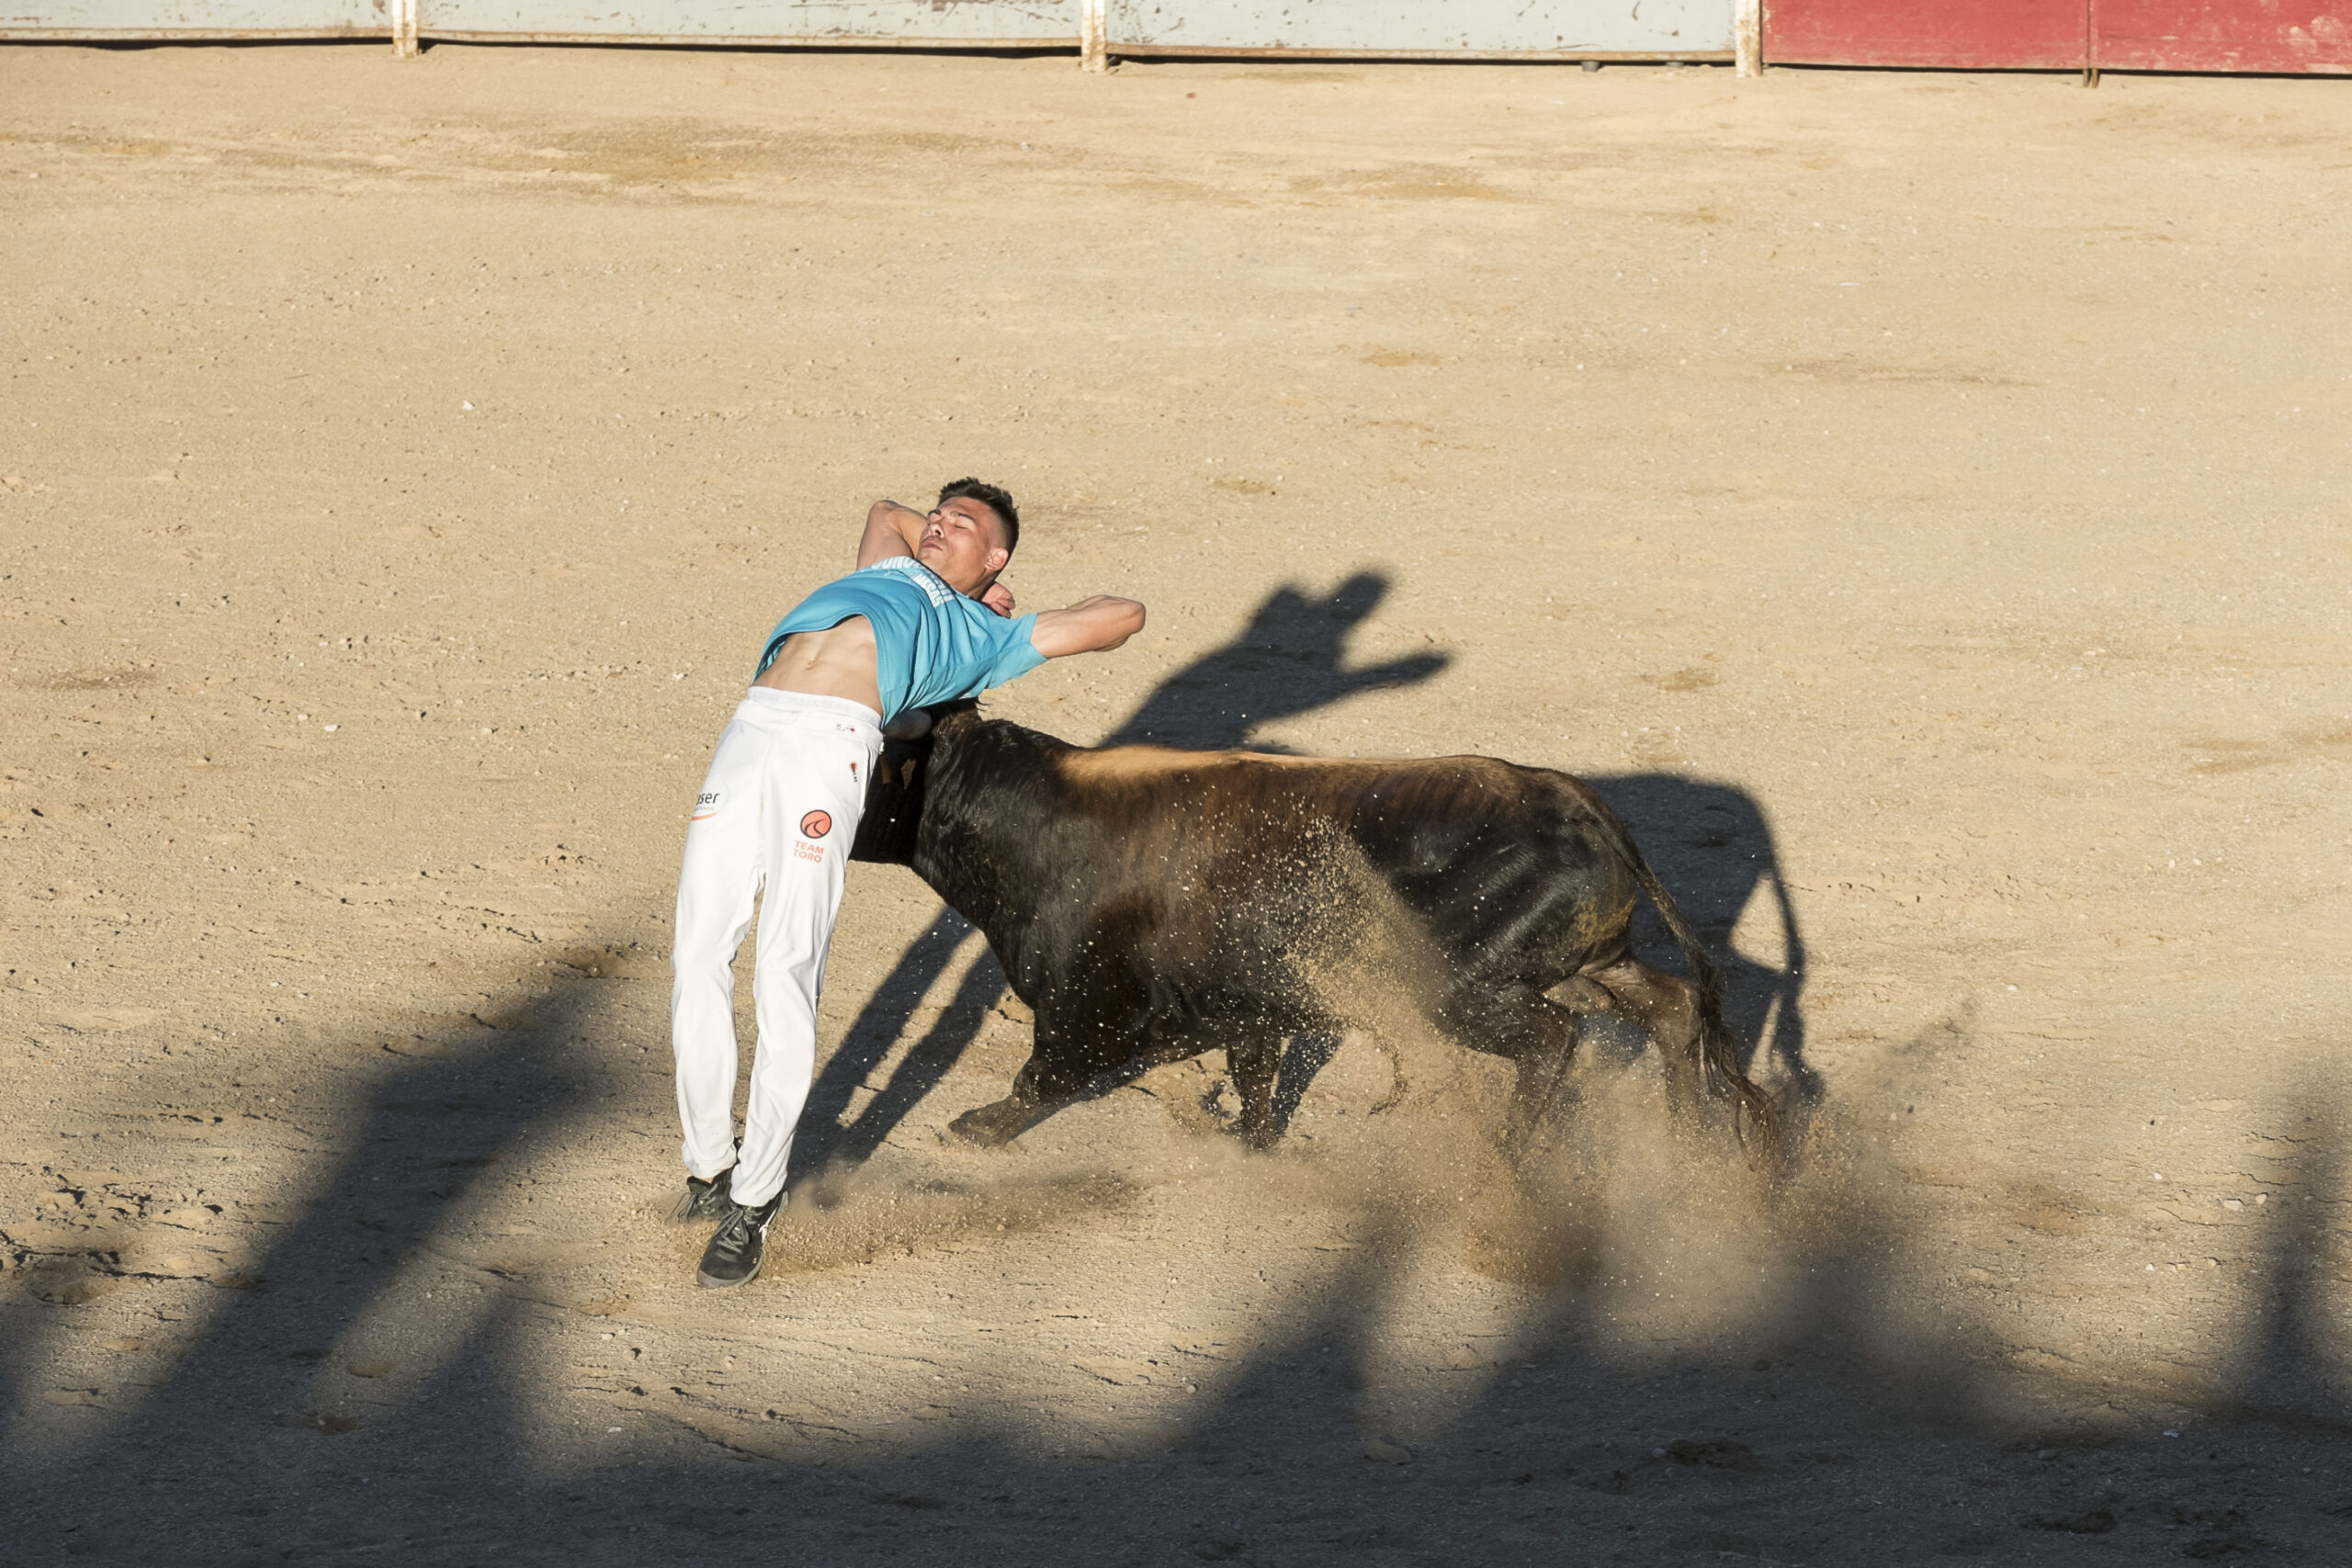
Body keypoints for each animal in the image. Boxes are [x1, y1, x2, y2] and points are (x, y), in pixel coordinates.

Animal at [855, 705, 1769, 1161]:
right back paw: (1689, 1146)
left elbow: (1042, 1075)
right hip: (1585, 959)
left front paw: (976, 1127)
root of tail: (1579, 802)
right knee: (1671, 1006)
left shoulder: (1088, 1003)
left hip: (1458, 987)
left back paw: (1507, 1156)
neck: (1031, 821)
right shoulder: (1247, 1006)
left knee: (1554, 1035)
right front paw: (1249, 1142)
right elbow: (1256, 1082)